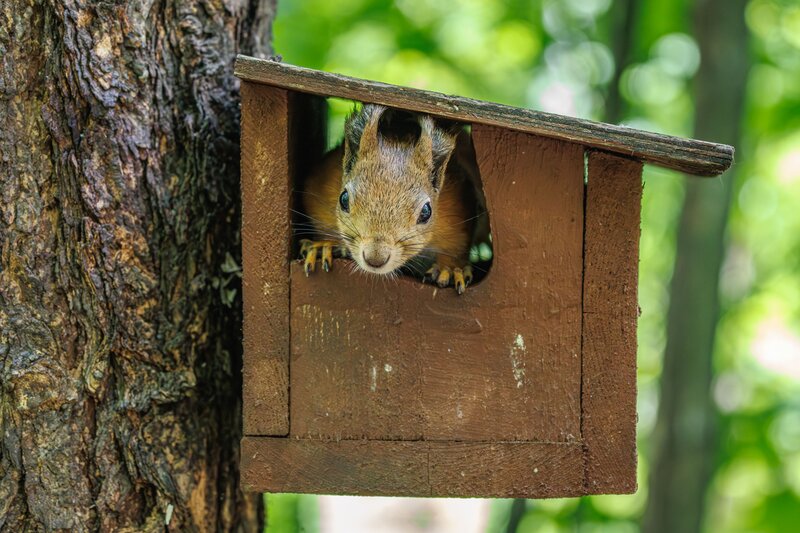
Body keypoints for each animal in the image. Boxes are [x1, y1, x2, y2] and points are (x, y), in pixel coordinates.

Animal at [297, 104, 478, 294]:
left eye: (426, 212)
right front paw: (326, 244)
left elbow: (457, 245)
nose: (375, 259)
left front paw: (450, 269)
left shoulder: (456, 212)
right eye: (343, 199)